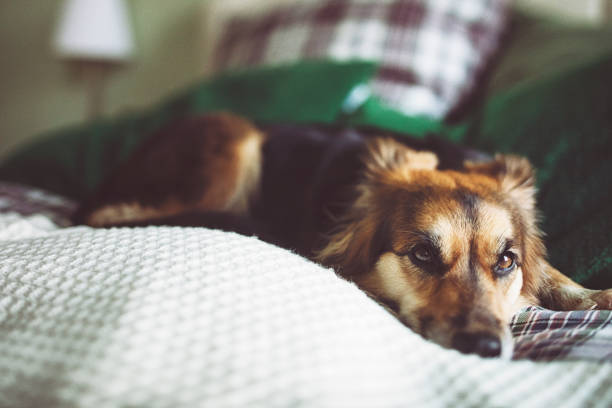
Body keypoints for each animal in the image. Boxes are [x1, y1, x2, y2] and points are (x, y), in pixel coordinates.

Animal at [75, 111, 612, 356]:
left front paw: (592, 295)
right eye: (422, 254)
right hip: (233, 135)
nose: (483, 348)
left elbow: (555, 277)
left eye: (505, 261)